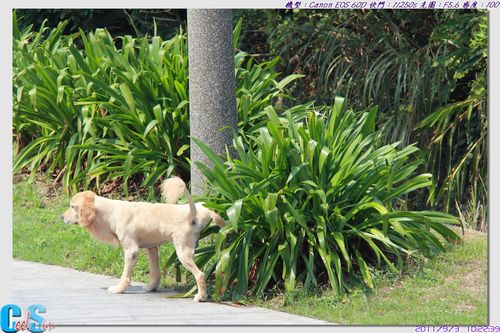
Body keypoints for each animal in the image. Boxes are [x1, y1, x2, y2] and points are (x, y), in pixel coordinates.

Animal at [61, 176, 226, 300]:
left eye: (73, 207)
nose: (61, 217)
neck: (110, 212)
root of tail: (192, 213)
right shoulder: (151, 248)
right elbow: (155, 271)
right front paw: (152, 287)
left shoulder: (131, 250)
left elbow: (125, 275)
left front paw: (119, 289)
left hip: (183, 252)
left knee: (200, 274)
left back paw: (201, 296)